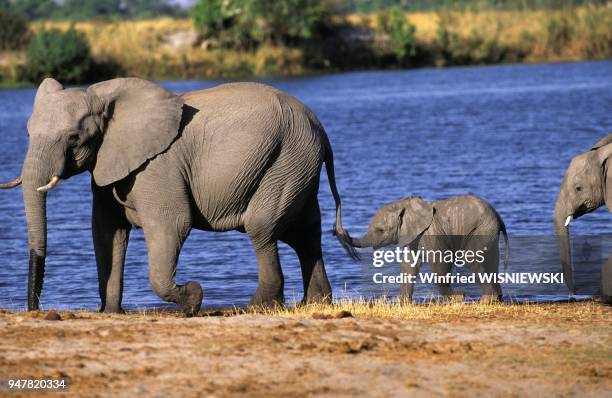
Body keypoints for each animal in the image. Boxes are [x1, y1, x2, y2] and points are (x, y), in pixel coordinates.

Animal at [346, 195, 510, 302]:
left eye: (380, 230)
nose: (343, 232)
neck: (404, 204)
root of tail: (498, 216)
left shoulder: (431, 232)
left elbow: (440, 262)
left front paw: (459, 298)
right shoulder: (412, 235)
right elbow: (409, 265)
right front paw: (403, 305)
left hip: (482, 228)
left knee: (472, 259)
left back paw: (486, 301)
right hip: (488, 230)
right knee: (491, 262)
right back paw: (497, 300)